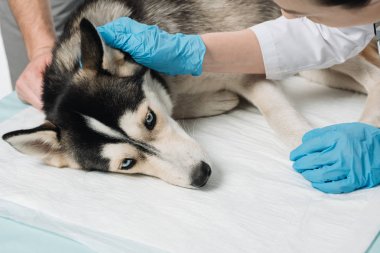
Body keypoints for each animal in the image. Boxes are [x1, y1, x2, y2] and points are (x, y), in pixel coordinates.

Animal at [2, 0, 380, 188]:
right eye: (127, 164)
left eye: (149, 119)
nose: (201, 175)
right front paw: (215, 101)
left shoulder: (246, 68)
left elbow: (280, 116)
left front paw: (318, 149)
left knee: (372, 72)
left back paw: (363, 132)